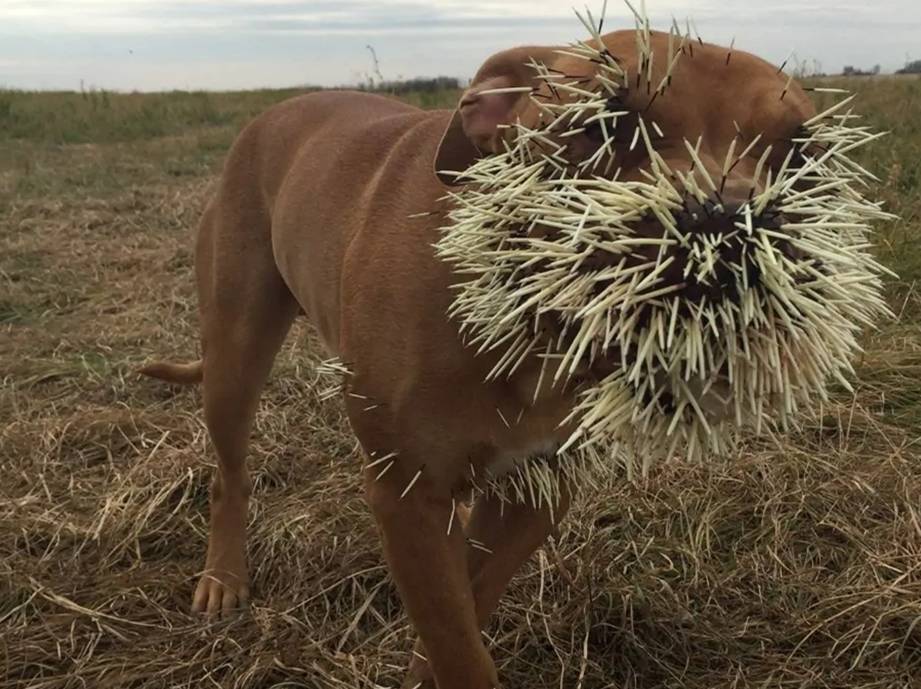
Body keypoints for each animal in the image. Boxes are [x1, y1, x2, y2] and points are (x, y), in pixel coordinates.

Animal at [144, 28, 812, 688]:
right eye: (603, 125)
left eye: (801, 155)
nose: (728, 224)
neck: (529, 327)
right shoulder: (407, 492)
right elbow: (455, 638)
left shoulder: (535, 493)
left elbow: (465, 604)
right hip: (235, 354)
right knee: (228, 475)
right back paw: (223, 579)